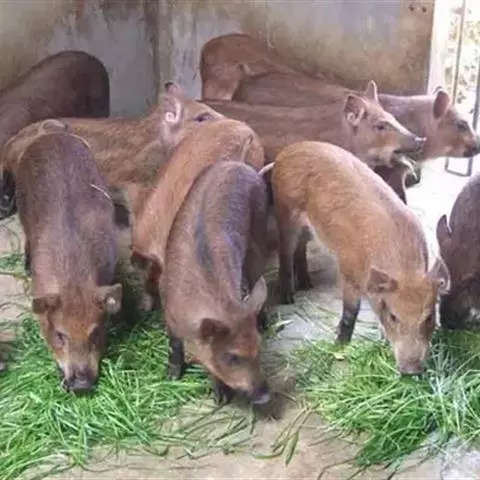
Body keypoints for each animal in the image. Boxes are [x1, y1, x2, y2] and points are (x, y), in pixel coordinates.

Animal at [163, 160, 270, 405]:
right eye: (233, 357)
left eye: (260, 347)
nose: (266, 396)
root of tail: (243, 166)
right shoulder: (168, 311)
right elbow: (174, 345)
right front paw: (172, 377)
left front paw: (220, 399)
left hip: (259, 230)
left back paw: (264, 322)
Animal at [272, 141, 450, 374]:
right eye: (394, 316)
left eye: (429, 317)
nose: (411, 370)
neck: (403, 269)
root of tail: (289, 149)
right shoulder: (347, 271)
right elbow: (350, 313)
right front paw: (339, 346)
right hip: (285, 211)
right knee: (285, 251)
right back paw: (288, 297)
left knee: (300, 248)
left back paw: (307, 284)